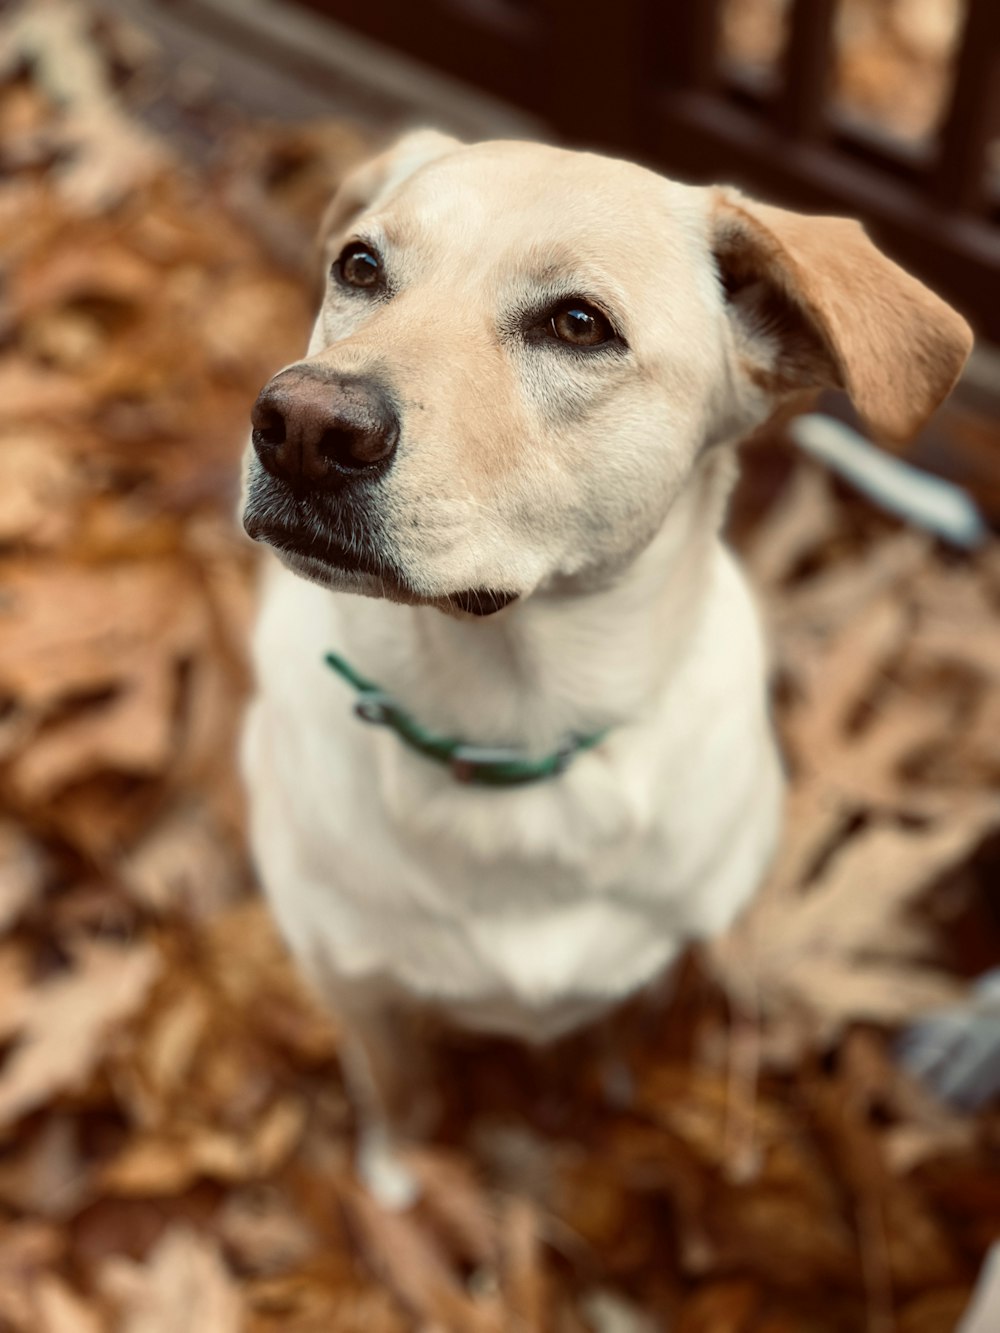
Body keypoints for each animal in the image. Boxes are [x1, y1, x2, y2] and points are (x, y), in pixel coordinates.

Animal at [238, 129, 976, 1205]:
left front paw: (599, 1091)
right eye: (360, 267)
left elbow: (608, 1035)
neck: (505, 738)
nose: (300, 425)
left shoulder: (658, 958)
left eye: (579, 325)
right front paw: (400, 1171)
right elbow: (397, 1083)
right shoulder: (353, 982)